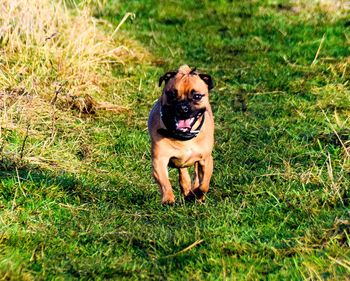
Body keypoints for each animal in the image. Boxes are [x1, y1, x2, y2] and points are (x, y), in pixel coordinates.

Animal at [147, 65, 213, 205]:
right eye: (171, 94)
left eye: (197, 96)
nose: (183, 107)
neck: (183, 137)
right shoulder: (159, 160)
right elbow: (164, 182)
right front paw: (168, 198)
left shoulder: (206, 160)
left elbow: (204, 185)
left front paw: (196, 195)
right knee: (182, 170)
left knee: (196, 176)